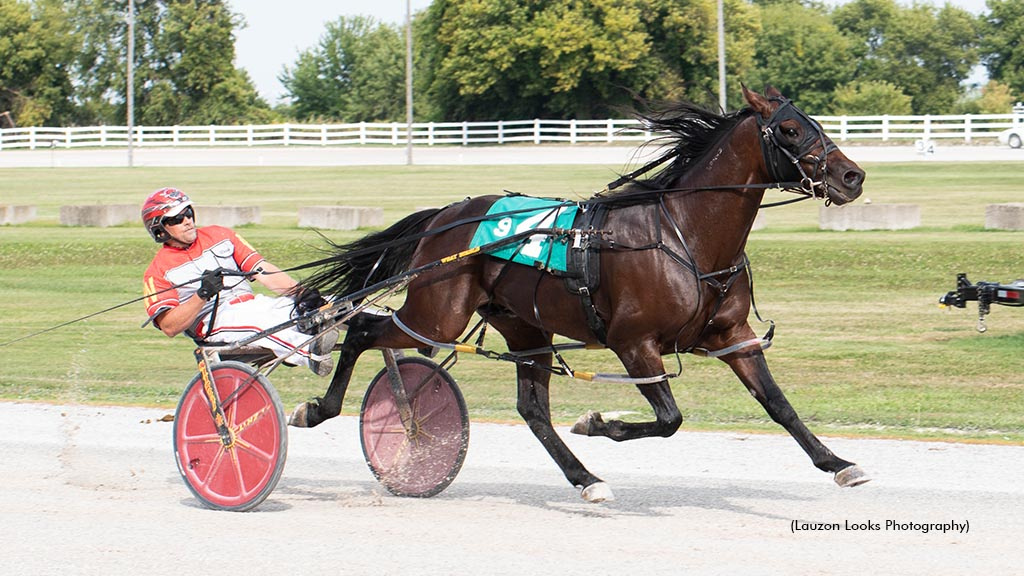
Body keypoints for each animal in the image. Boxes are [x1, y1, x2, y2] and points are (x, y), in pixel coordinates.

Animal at [292, 86, 868, 502]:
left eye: (819, 125)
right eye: (790, 130)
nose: (852, 176)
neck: (685, 235)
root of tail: (447, 214)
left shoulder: (733, 335)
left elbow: (779, 405)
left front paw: (839, 464)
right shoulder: (635, 343)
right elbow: (670, 420)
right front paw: (597, 422)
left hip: (523, 326)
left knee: (532, 410)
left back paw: (585, 479)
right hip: (436, 315)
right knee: (363, 328)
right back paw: (317, 408)